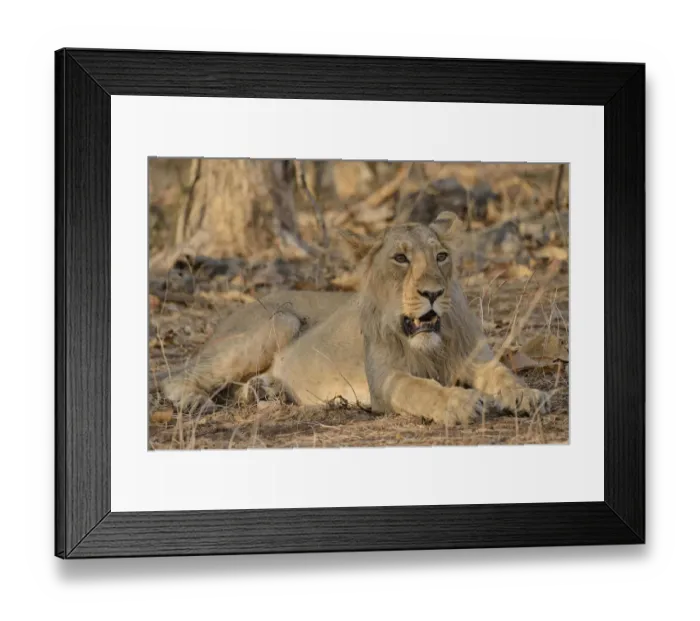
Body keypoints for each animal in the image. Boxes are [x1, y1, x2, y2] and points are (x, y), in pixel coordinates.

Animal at [157, 211, 551, 426]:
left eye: (441, 256)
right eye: (400, 259)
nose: (433, 293)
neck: (431, 346)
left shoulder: (478, 359)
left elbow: (505, 375)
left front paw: (528, 395)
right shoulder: (384, 380)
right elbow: (420, 388)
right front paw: (460, 402)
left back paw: (264, 390)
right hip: (282, 319)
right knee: (176, 377)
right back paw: (195, 402)